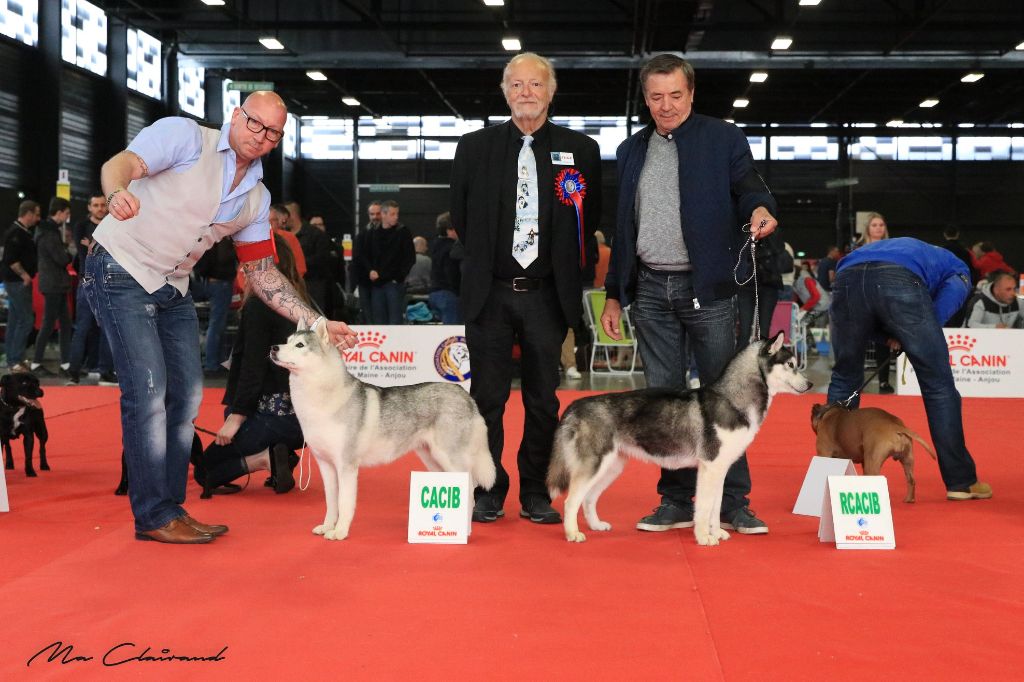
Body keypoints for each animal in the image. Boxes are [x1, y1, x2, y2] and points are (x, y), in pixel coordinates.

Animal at [806, 401, 937, 501]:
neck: (828, 413)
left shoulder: (824, 454)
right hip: (907, 460)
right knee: (911, 480)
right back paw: (908, 500)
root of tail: (895, 425)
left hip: (873, 463)